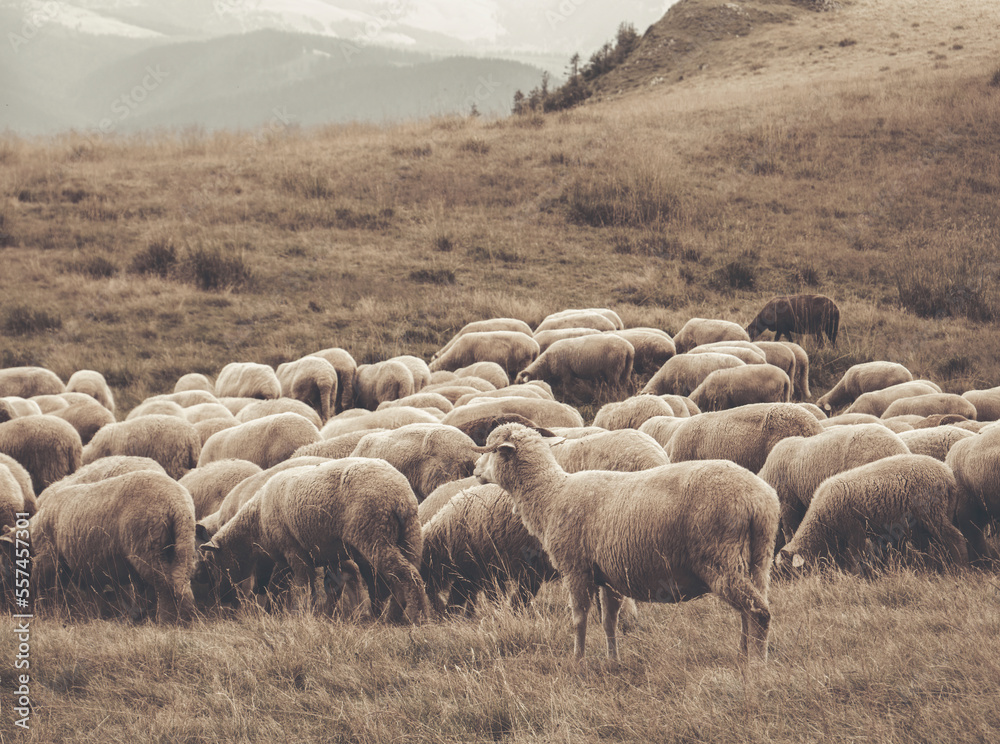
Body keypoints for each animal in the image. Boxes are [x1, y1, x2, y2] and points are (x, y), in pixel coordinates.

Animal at [8, 469, 197, 622]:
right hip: (183, 540)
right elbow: (95, 594)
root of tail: (176, 503)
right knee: (180, 581)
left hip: (147, 545)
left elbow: (41, 583)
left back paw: (166, 620)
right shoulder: (88, 566)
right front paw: (97, 616)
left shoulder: (48, 555)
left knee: (164, 584)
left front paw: (41, 611)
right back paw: (186, 618)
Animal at [200, 458, 429, 622]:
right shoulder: (304, 557)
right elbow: (280, 586)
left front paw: (301, 613)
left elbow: (302, 585)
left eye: (213, 564)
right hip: (409, 534)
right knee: (406, 573)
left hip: (374, 535)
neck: (255, 523)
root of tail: (399, 495)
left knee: (406, 575)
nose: (221, 600)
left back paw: (415, 617)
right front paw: (273, 612)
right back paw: (393, 615)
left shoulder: (294, 550)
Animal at [473, 424, 778, 662]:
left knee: (758, 612)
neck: (551, 494)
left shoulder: (576, 569)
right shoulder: (608, 576)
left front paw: (578, 661)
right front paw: (613, 660)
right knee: (750, 609)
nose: (474, 470)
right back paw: (743, 654)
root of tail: (758, 499)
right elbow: (609, 622)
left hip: (719, 558)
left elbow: (579, 620)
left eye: (491, 450)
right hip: (758, 557)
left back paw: (756, 665)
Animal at [776, 454, 969, 572]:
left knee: (955, 537)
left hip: (933, 512)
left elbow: (856, 557)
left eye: (786, 570)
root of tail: (948, 475)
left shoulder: (855, 529)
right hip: (930, 518)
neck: (821, 520)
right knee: (931, 545)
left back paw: (960, 569)